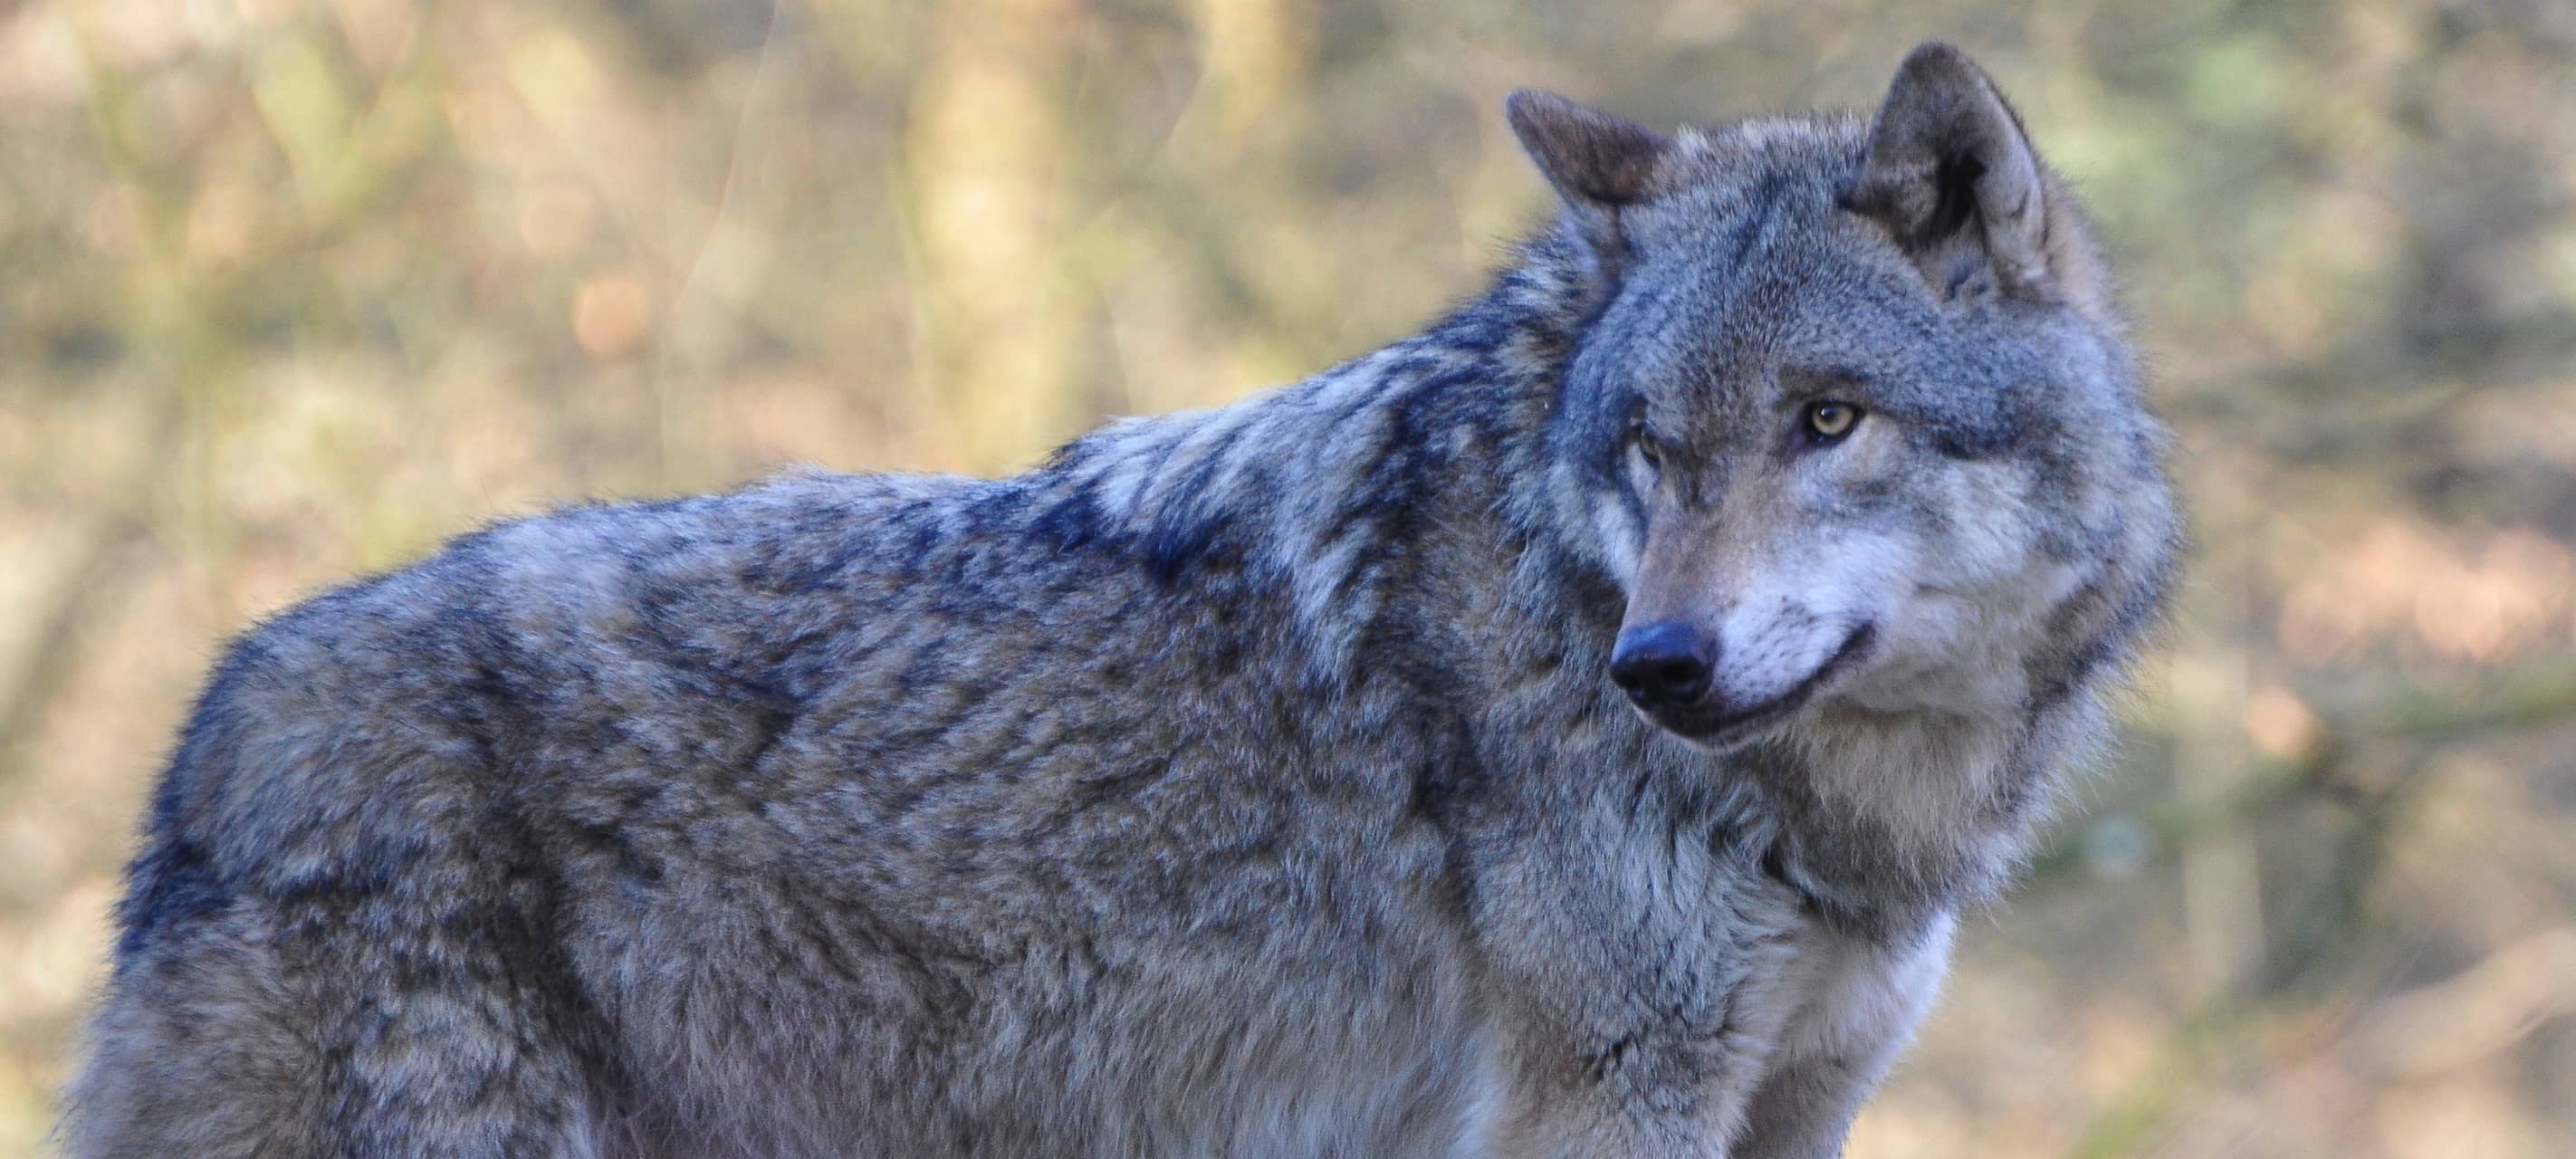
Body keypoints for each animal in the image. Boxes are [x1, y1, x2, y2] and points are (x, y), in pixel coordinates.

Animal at [64, 42, 2175, 1158]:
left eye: (1827, 419)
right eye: (1649, 449)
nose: (1655, 660)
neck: (1860, 820)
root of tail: (214, 732)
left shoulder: (1800, 1099)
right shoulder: (1603, 1102)